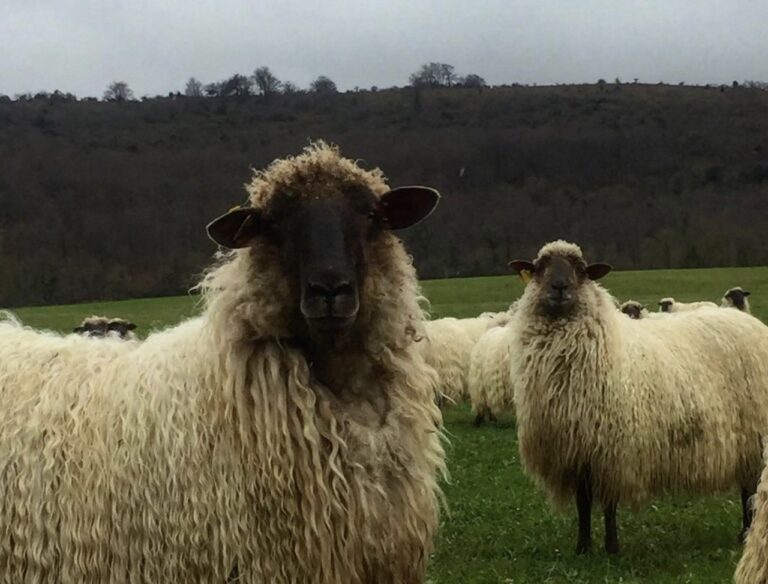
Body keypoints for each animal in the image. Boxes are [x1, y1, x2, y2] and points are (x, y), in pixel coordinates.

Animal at [509, 240, 768, 555]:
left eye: (581, 269)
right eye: (539, 267)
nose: (559, 286)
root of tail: (749, 321)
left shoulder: (613, 449)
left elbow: (609, 504)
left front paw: (612, 547)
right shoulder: (577, 449)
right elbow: (583, 503)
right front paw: (583, 547)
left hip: (753, 431)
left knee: (750, 487)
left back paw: (746, 532)